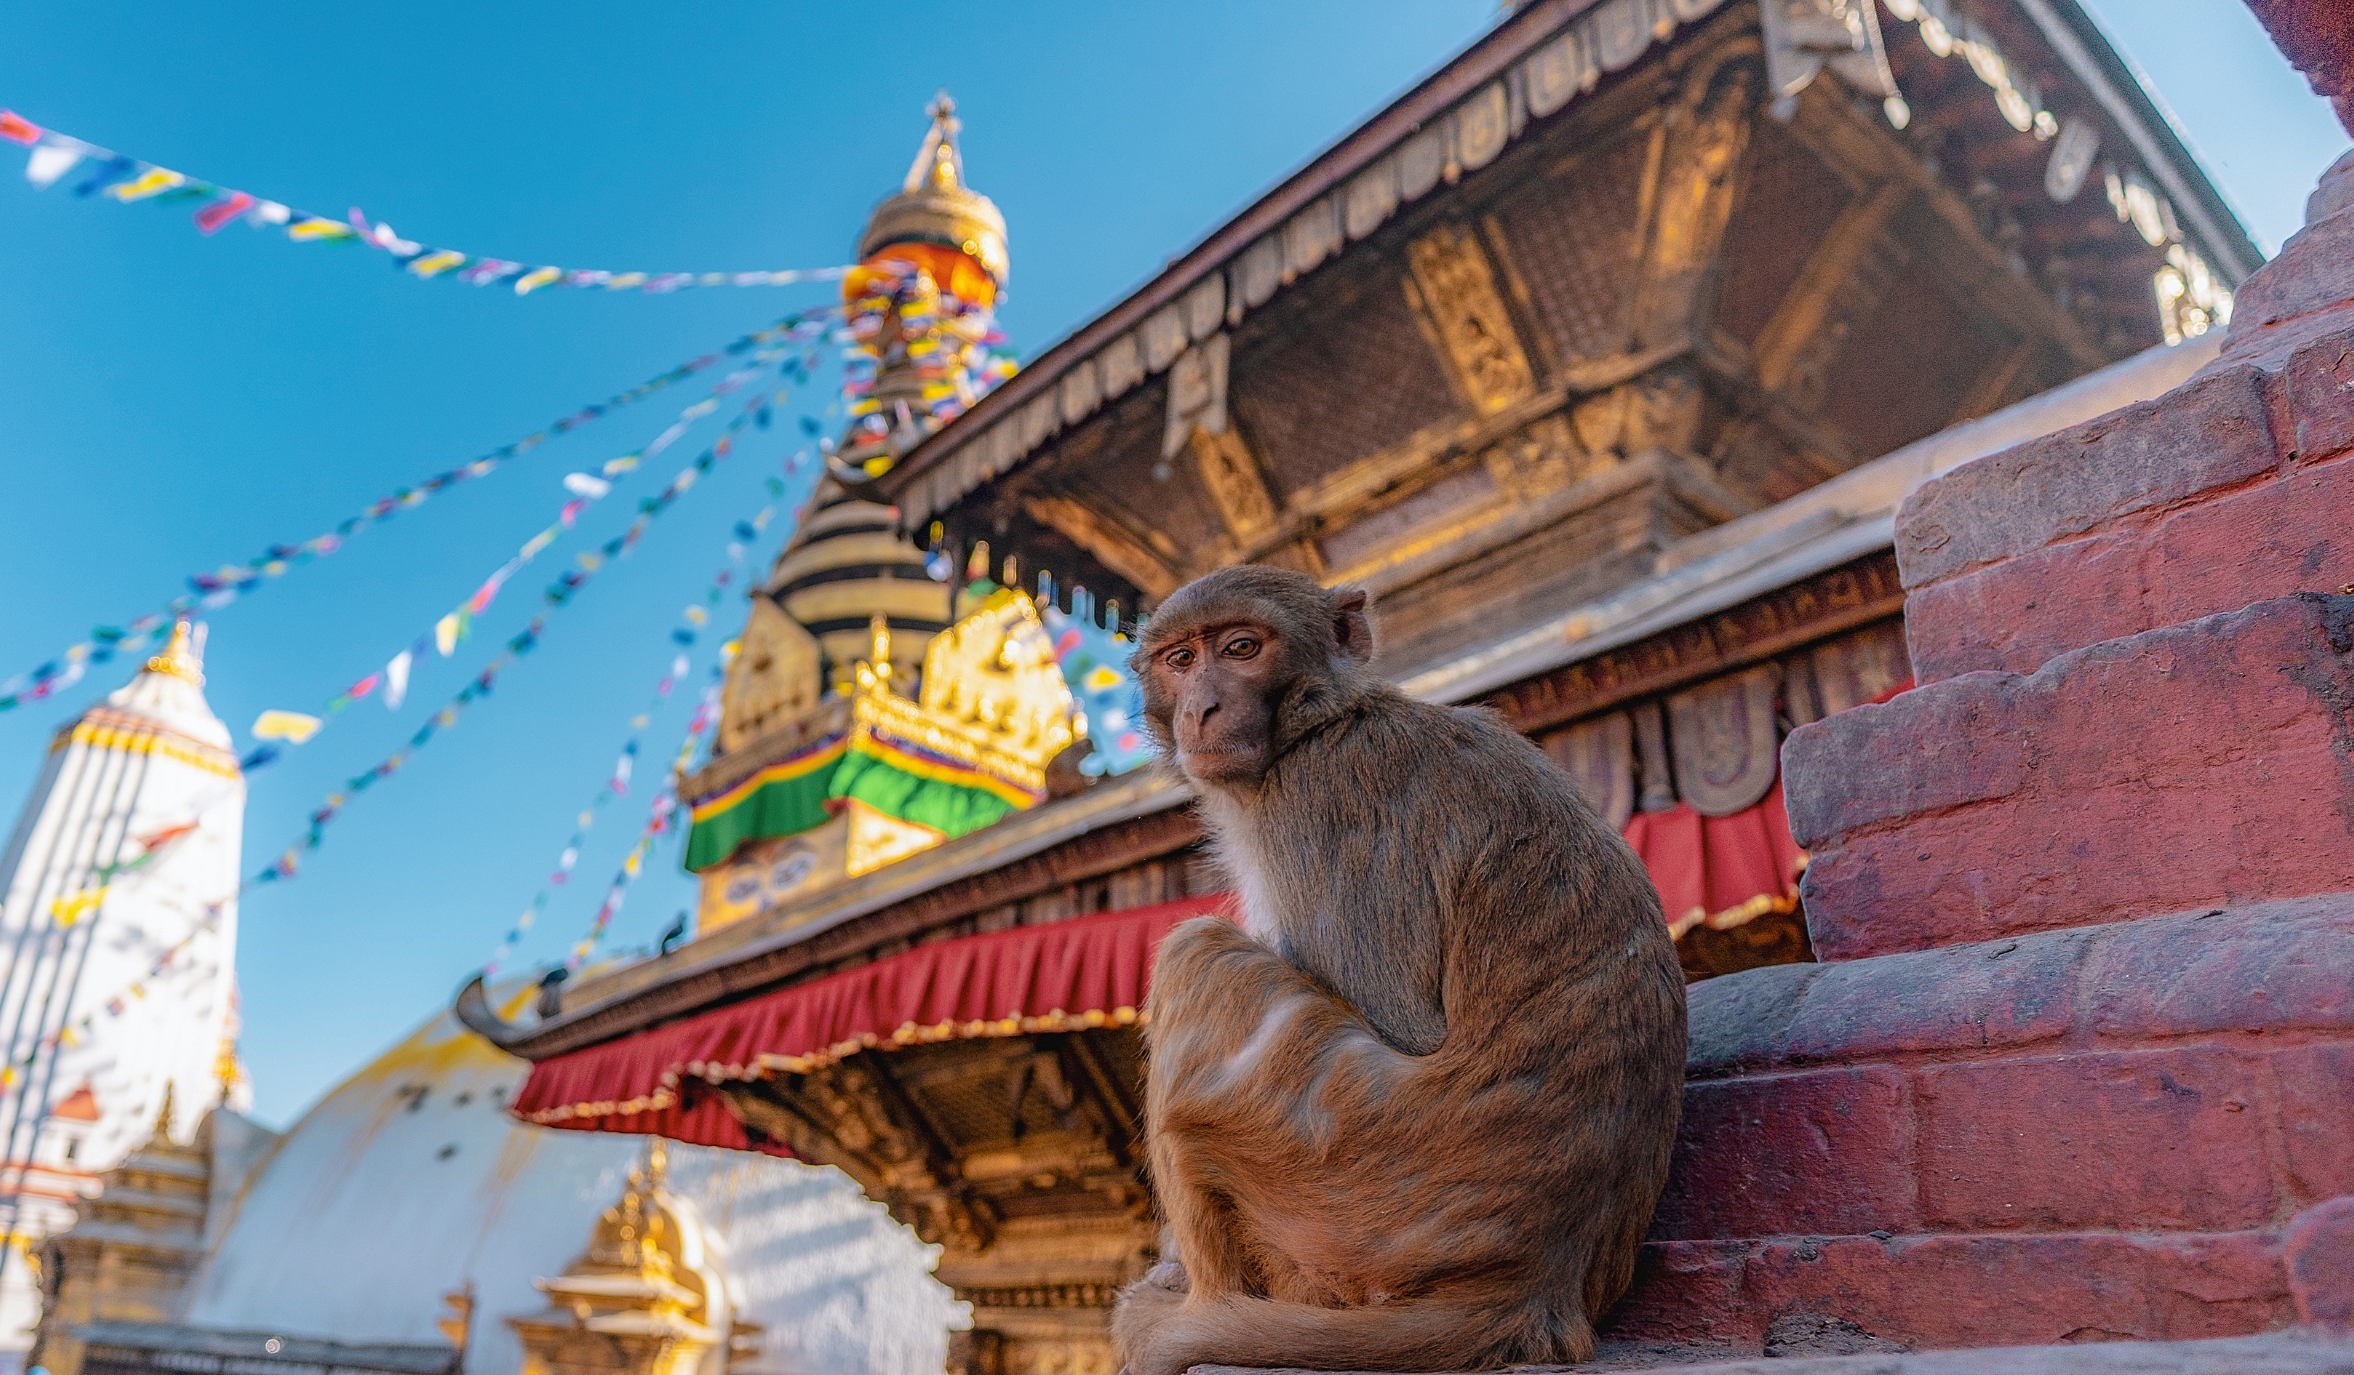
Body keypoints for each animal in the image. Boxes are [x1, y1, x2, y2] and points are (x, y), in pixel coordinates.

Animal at [1111, 565, 1685, 1365]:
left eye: (1242, 647)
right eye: (1181, 659)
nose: (1203, 707)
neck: (1320, 722)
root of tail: (1532, 1285)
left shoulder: (1319, 798)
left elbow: (1403, 1019)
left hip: (1342, 1194)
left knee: (1199, 954)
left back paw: (1208, 1307)